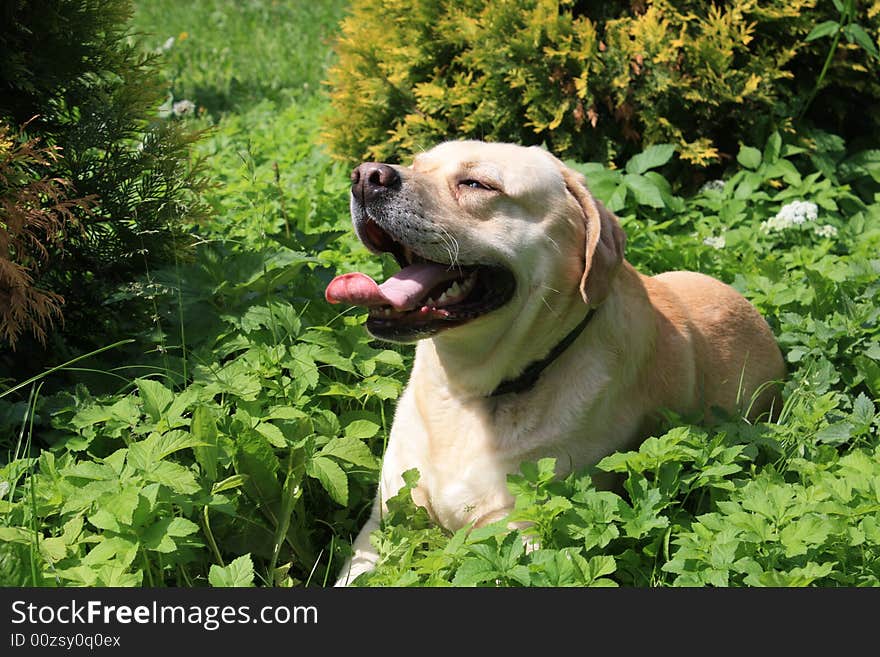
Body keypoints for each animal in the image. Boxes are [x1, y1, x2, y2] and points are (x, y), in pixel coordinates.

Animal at [326, 140, 788, 584]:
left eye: (477, 184)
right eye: (416, 164)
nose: (366, 176)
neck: (465, 392)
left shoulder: (524, 533)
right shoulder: (384, 519)